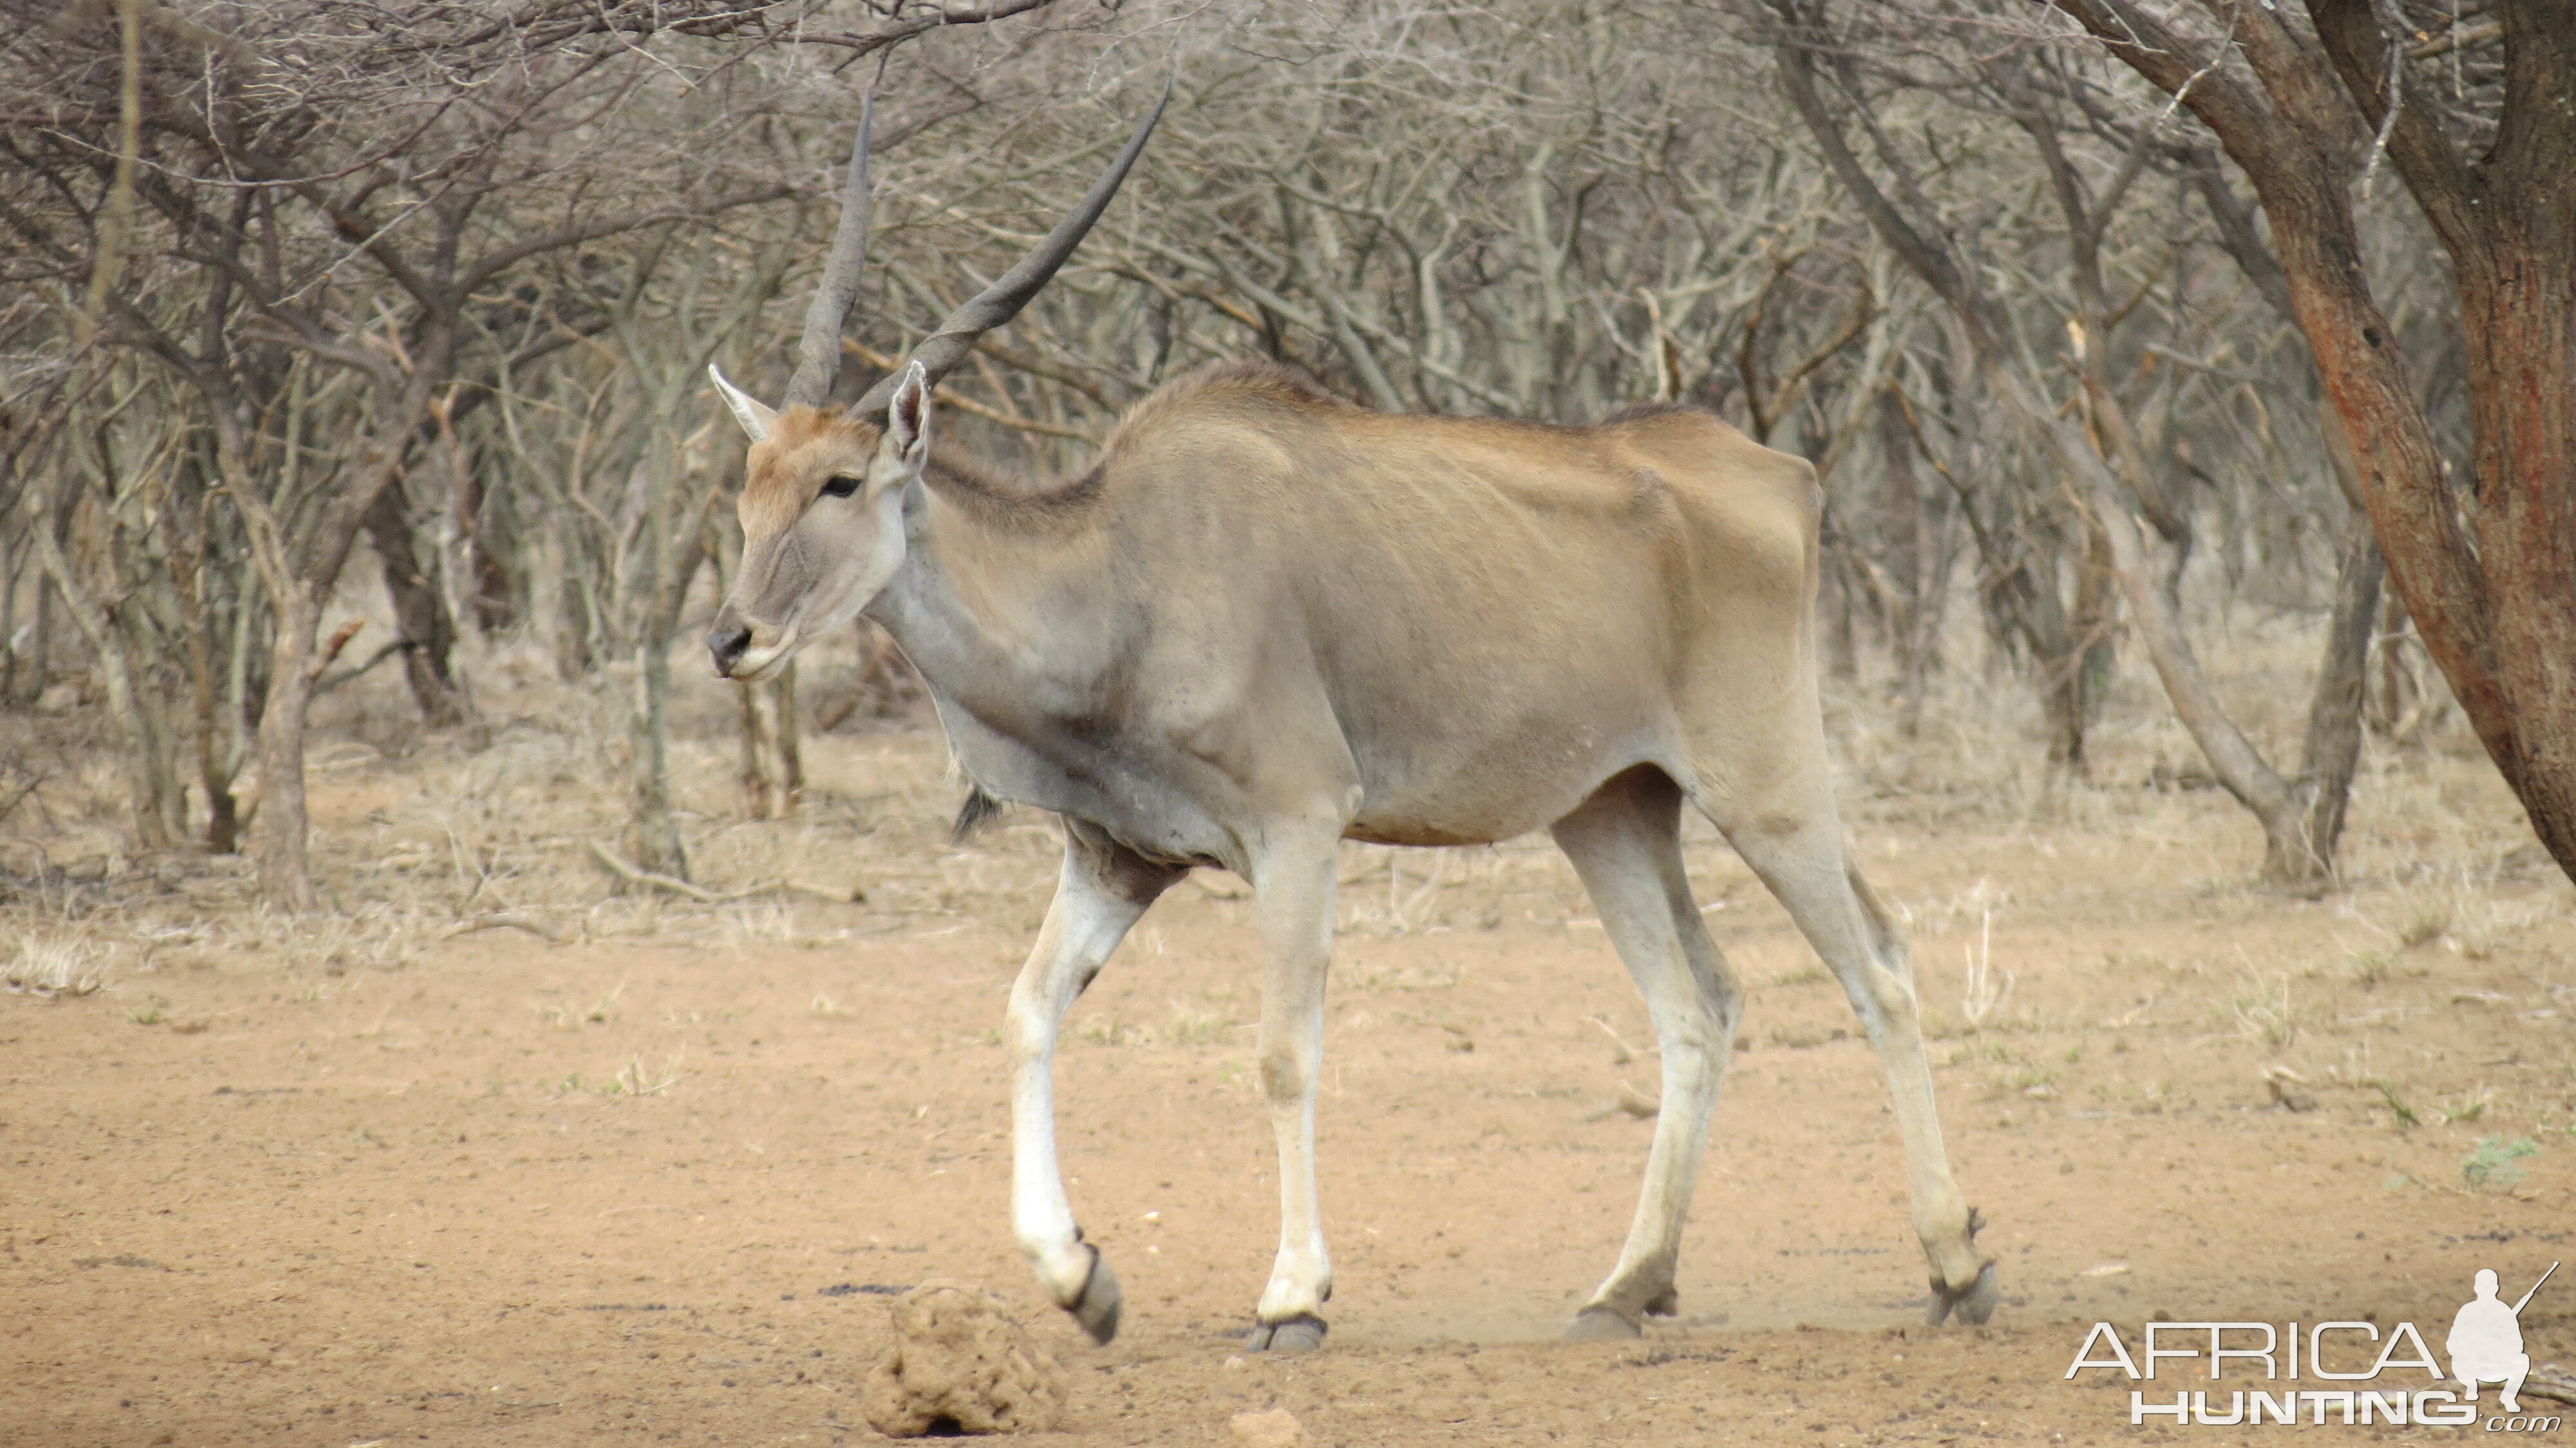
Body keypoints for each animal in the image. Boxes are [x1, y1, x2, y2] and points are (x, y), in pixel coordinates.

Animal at [711, 93, 2009, 1350]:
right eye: (748, 487)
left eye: (840, 482)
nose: (732, 638)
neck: (1119, 571)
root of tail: (1778, 472)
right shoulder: (1120, 861)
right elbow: (1029, 1013)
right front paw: (1080, 1280)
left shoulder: (1298, 829)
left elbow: (1284, 1052)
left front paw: (1292, 1296)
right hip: (1611, 811)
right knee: (1699, 1004)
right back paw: (1627, 1286)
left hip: (1766, 788)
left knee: (1878, 965)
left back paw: (1954, 1265)